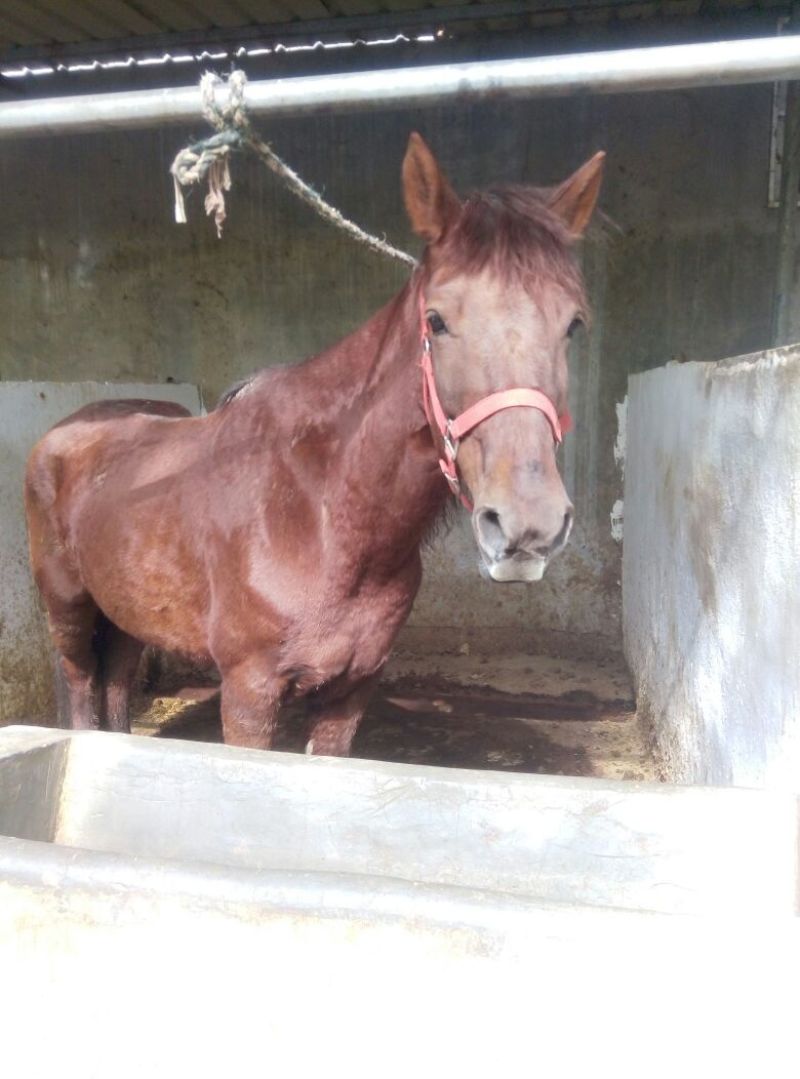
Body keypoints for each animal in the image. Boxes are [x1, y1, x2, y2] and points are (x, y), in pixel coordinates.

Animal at [25, 133, 604, 757]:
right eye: (436, 320)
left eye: (573, 324)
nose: (528, 525)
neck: (319, 513)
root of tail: (66, 430)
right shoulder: (248, 695)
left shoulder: (351, 693)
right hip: (69, 612)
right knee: (81, 687)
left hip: (127, 612)